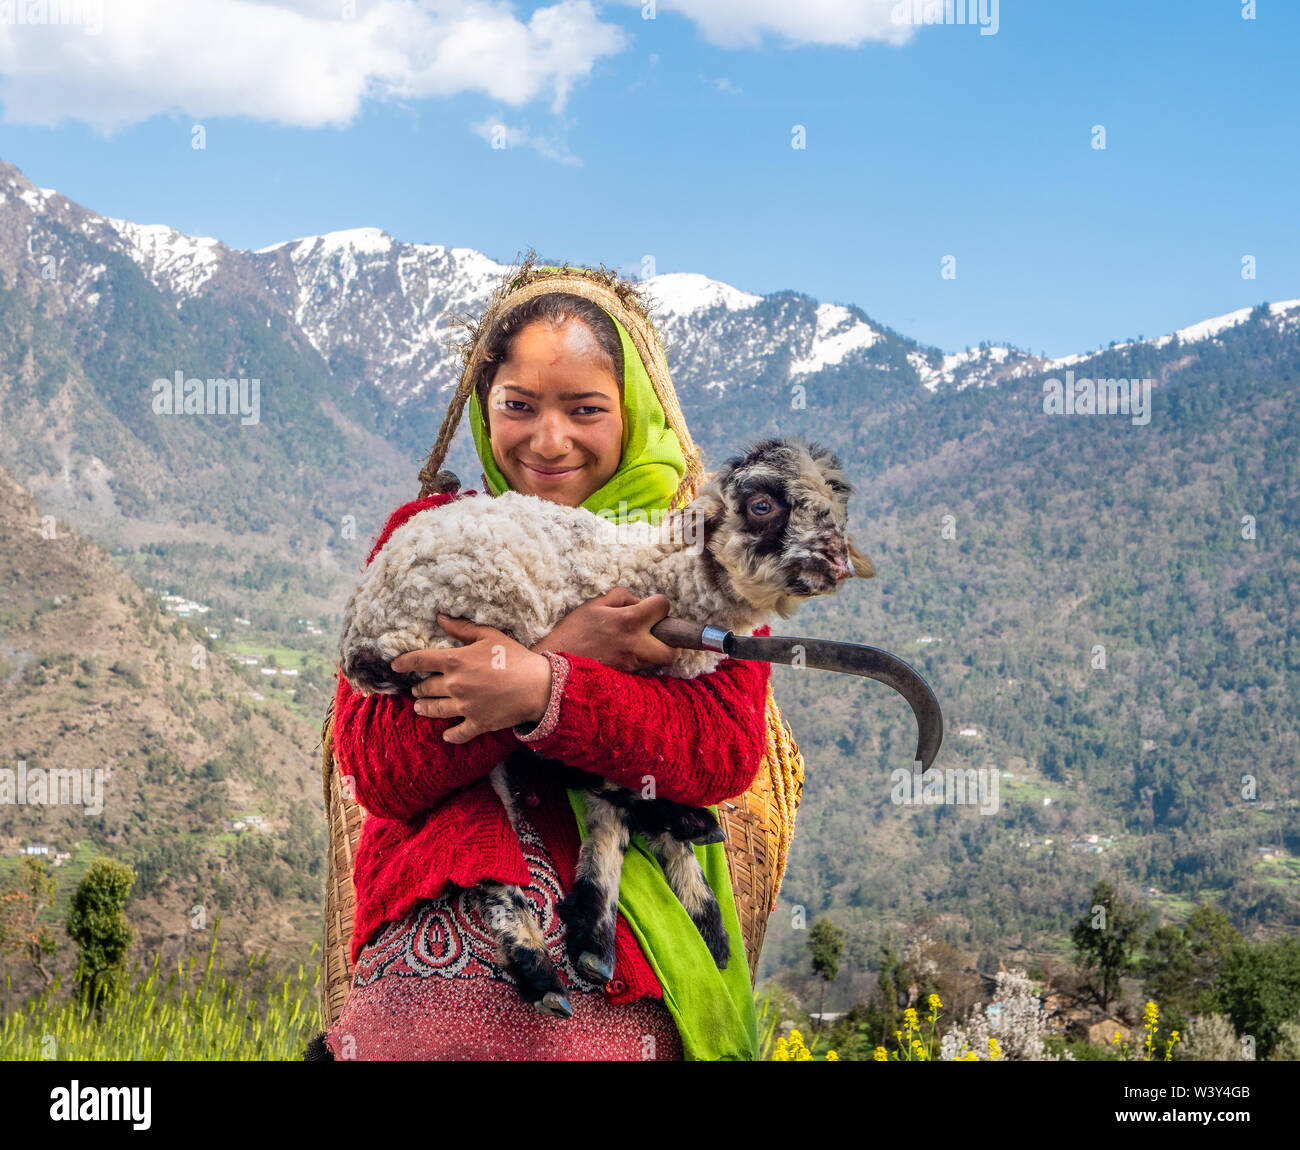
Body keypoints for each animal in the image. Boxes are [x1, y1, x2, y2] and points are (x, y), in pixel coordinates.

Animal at [340, 436, 878, 1013]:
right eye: (761, 506)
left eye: (837, 506)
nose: (838, 562)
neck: (661, 575)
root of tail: (362, 633)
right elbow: (610, 806)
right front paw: (623, 922)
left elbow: (621, 792)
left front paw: (680, 913)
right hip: (469, 655)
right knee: (482, 825)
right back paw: (539, 966)